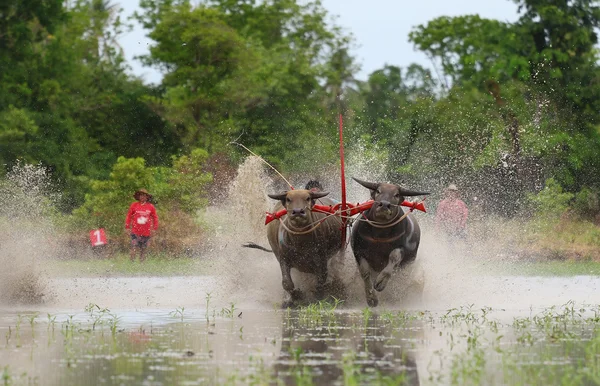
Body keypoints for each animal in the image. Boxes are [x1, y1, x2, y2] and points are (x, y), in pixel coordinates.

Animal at [350, 178, 428, 308]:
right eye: (378, 191)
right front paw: (371, 298)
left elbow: (393, 257)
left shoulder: (402, 251)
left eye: (396, 195)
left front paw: (381, 282)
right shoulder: (358, 249)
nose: (385, 205)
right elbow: (365, 272)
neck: (379, 234)